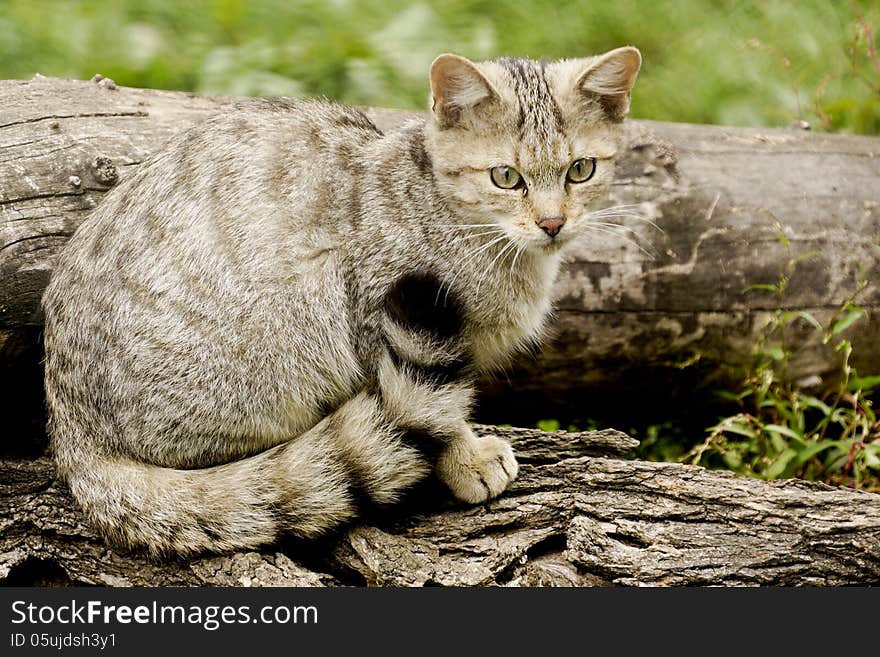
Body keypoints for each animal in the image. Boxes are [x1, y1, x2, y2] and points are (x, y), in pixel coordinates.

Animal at [41, 46, 644, 552]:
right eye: (506, 177)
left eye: (580, 170)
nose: (552, 223)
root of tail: (72, 433)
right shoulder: (375, 310)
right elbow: (435, 412)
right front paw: (465, 458)